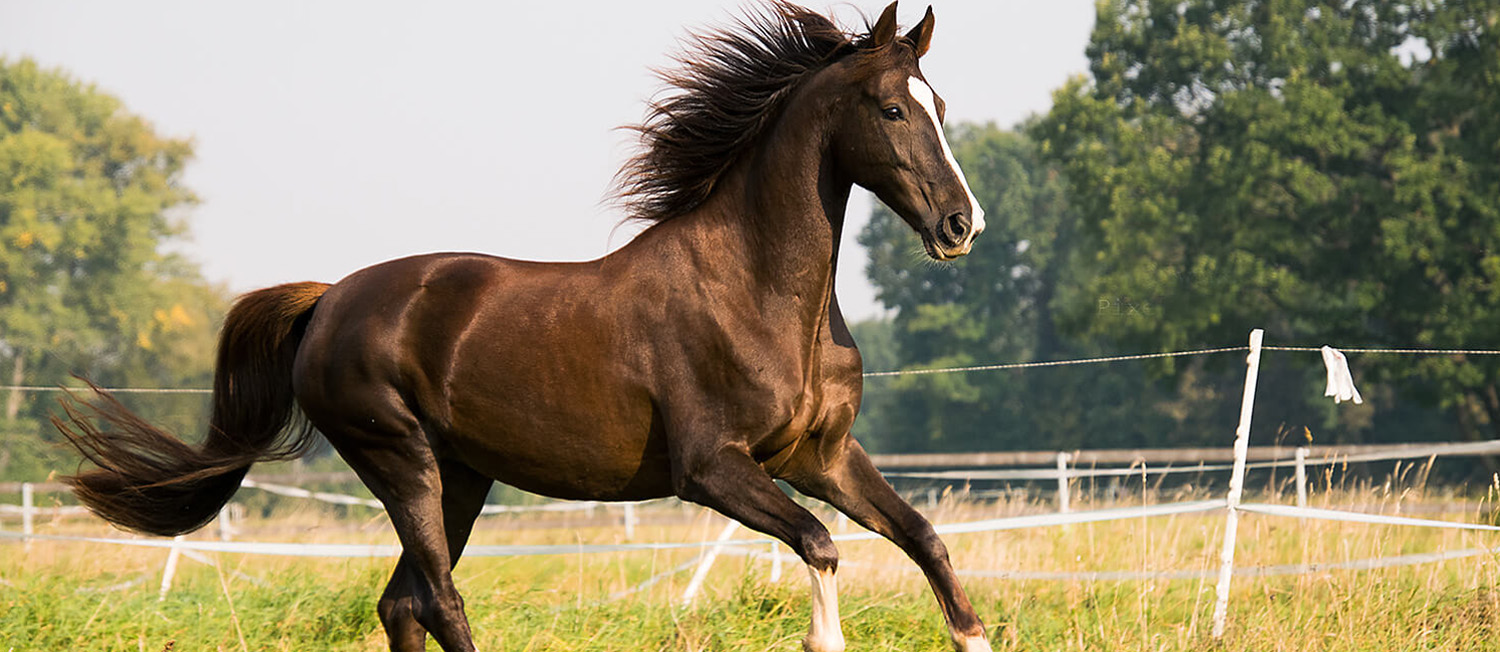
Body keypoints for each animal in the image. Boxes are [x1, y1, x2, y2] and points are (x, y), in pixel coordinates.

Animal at [55, 2, 996, 650]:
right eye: (891, 110)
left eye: (941, 103)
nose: (962, 225)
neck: (759, 295)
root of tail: (327, 300)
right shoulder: (712, 470)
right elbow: (821, 546)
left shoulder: (821, 458)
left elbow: (927, 543)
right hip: (402, 462)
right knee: (438, 599)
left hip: (461, 476)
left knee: (402, 602)